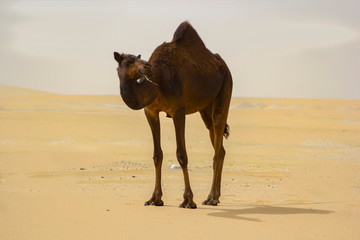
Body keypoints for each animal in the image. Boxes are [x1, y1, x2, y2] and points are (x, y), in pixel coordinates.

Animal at [113, 21, 233, 208]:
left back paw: (211, 198)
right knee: (219, 146)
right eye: (129, 61)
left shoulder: (178, 111)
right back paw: (215, 197)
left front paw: (188, 200)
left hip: (225, 89)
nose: (147, 66)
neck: (157, 83)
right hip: (205, 109)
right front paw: (155, 199)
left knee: (218, 136)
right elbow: (157, 155)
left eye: (138, 58)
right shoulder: (151, 112)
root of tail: (224, 67)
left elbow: (181, 155)